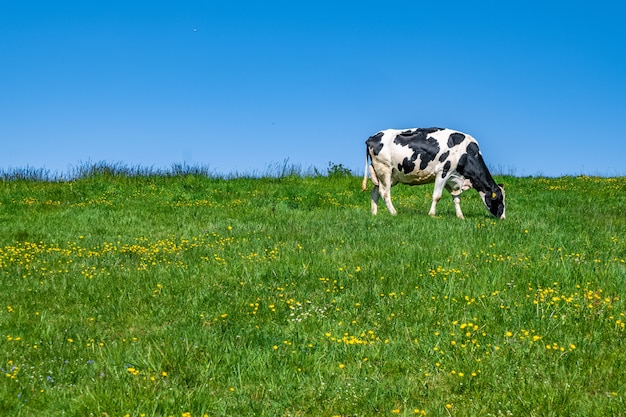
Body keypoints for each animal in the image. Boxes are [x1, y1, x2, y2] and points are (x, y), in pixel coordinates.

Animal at [360, 126, 502, 218]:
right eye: (499, 199)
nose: (503, 217)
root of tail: (372, 137)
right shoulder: (443, 172)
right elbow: (437, 196)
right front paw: (432, 214)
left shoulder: (453, 180)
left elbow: (456, 198)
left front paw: (460, 216)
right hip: (384, 169)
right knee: (384, 192)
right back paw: (394, 213)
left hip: (387, 174)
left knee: (375, 191)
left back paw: (374, 213)